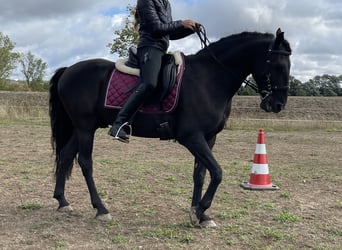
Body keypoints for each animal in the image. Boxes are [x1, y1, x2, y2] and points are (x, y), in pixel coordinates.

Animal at [48, 28, 292, 228]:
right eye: (278, 65)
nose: (278, 105)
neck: (210, 78)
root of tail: (69, 69)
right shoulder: (191, 137)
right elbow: (217, 172)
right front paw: (200, 210)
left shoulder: (208, 138)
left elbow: (201, 174)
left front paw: (200, 215)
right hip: (85, 127)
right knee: (85, 162)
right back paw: (101, 209)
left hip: (81, 128)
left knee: (66, 155)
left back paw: (63, 201)